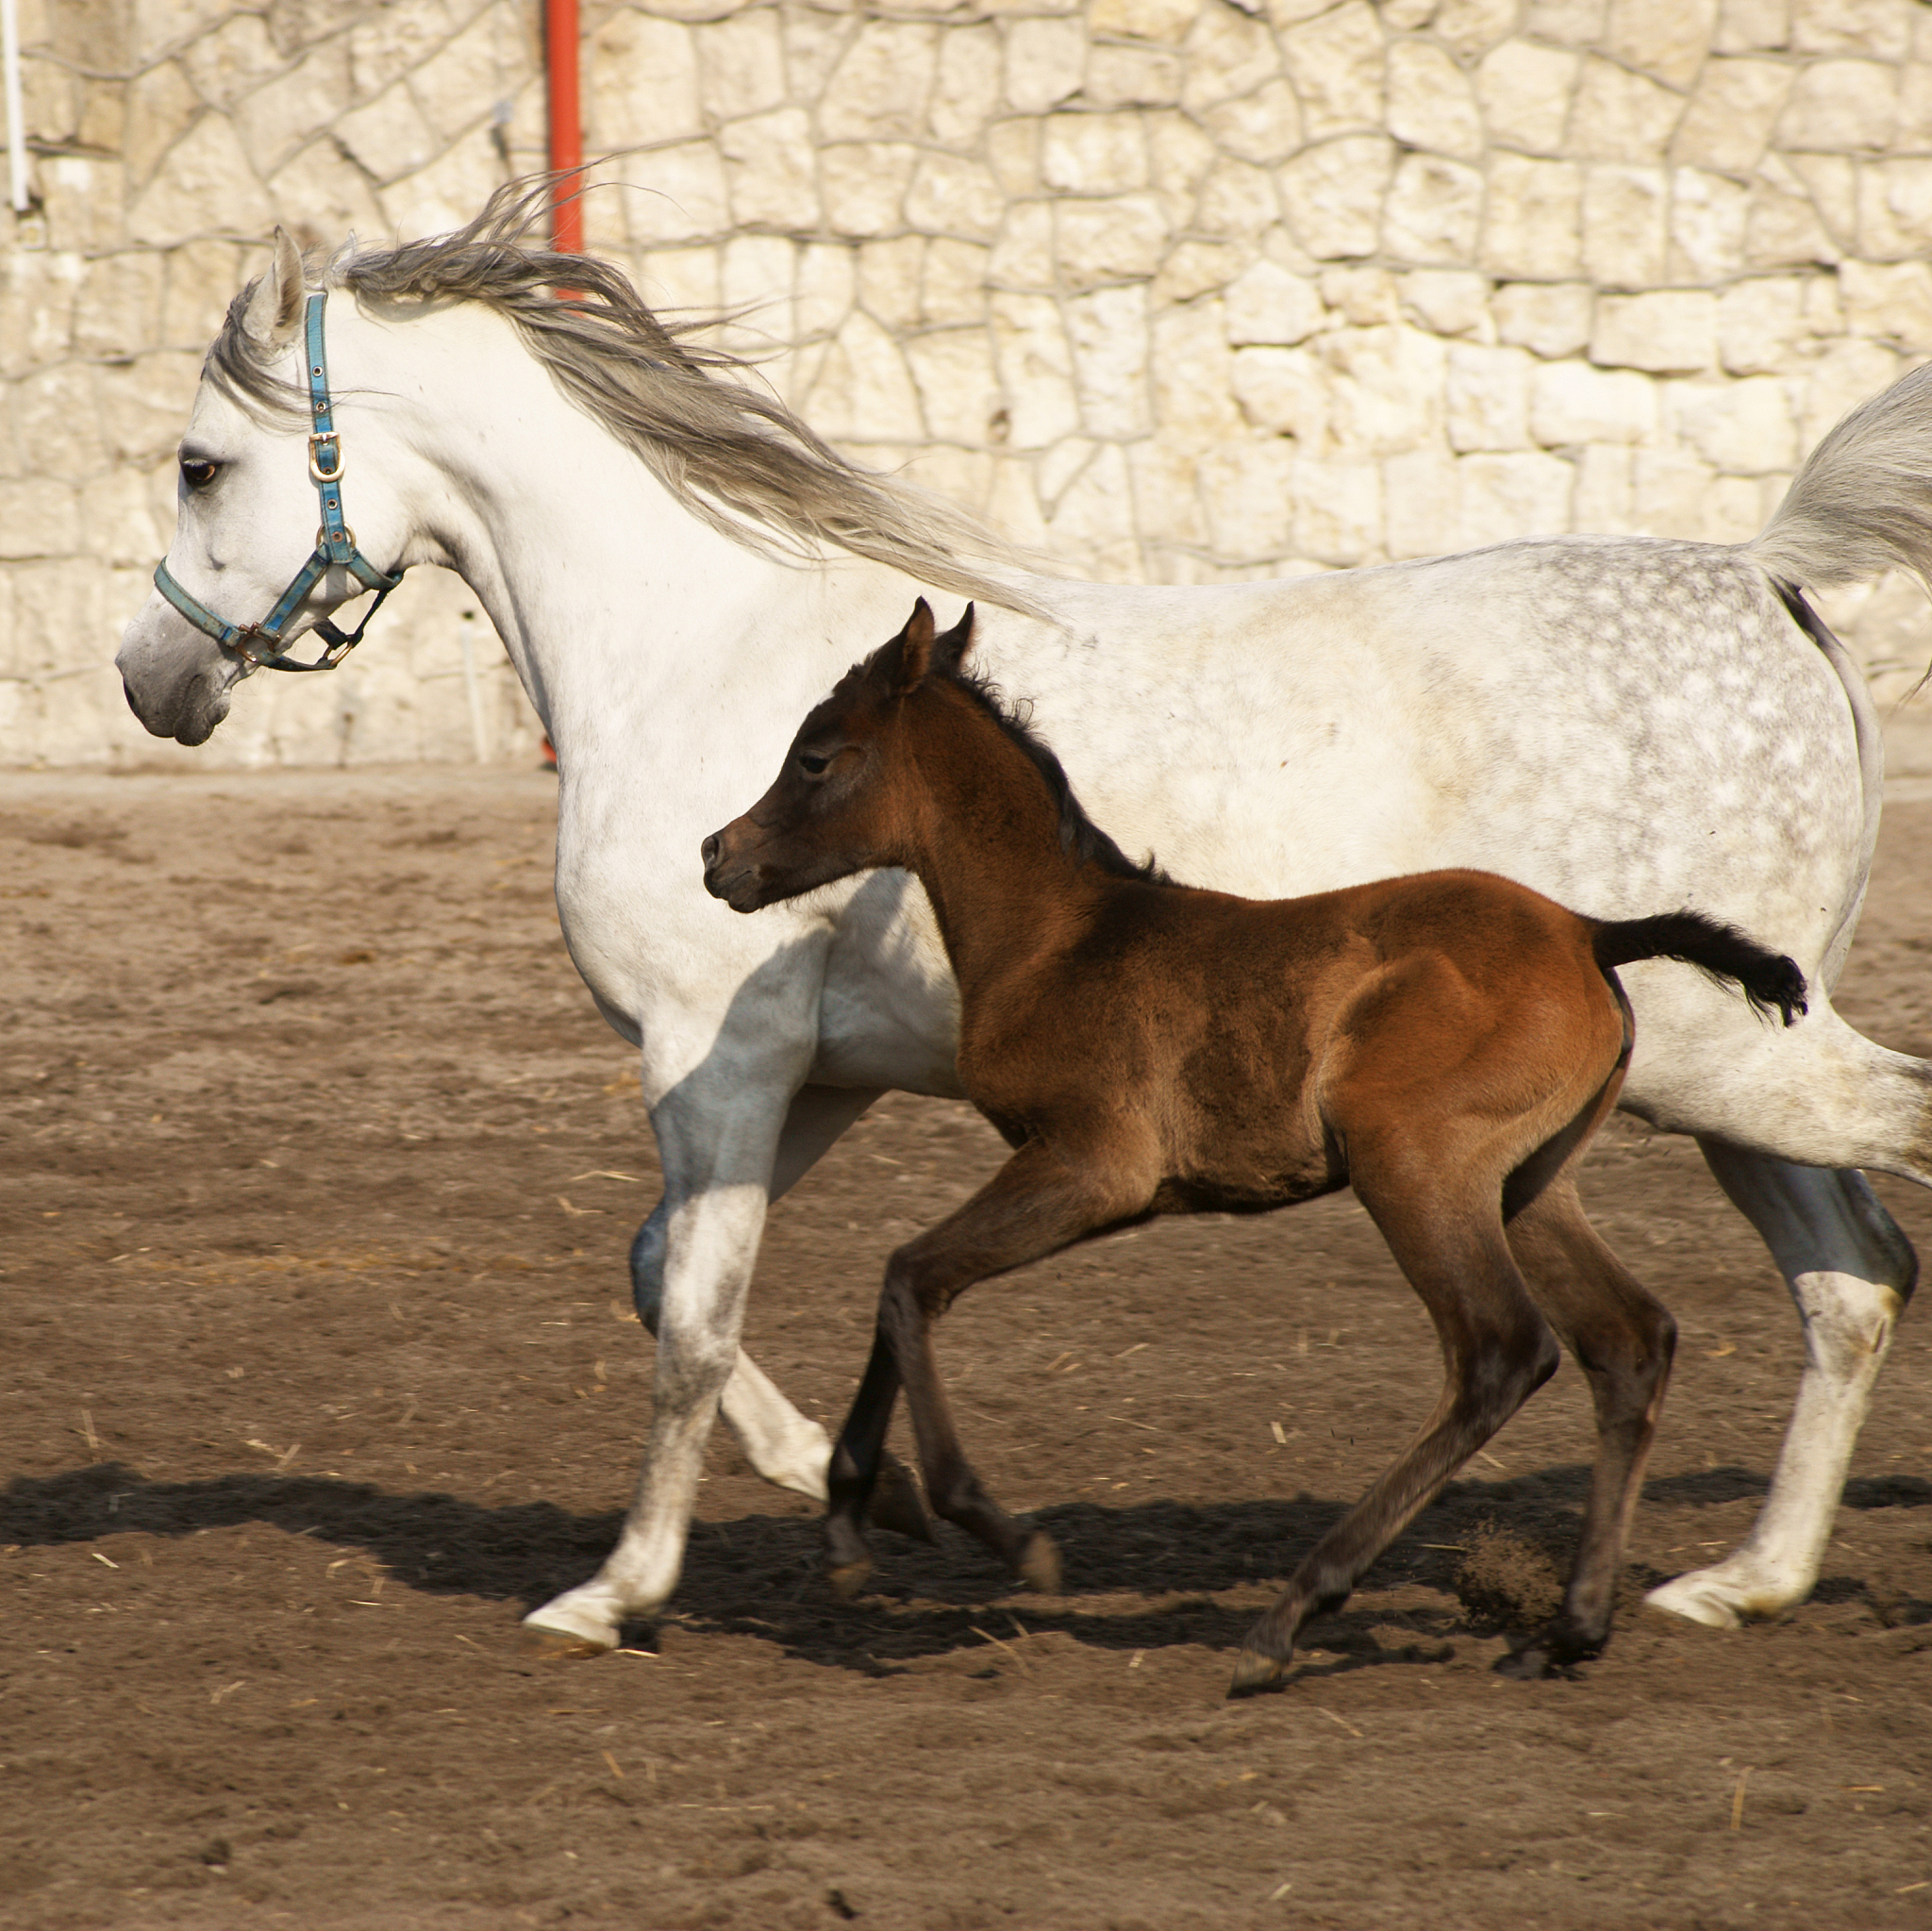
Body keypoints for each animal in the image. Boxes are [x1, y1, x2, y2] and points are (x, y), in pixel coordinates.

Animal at [701, 598, 1809, 1691]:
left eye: (815, 755)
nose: (718, 856)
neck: (1056, 939)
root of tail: (1586, 931)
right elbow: (906, 1290)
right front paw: (848, 1528)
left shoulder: (1091, 1167)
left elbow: (910, 1276)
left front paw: (995, 1530)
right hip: (1529, 1185)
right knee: (1627, 1342)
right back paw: (1567, 1630)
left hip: (1413, 1166)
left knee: (1498, 1352)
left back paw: (1289, 1618)